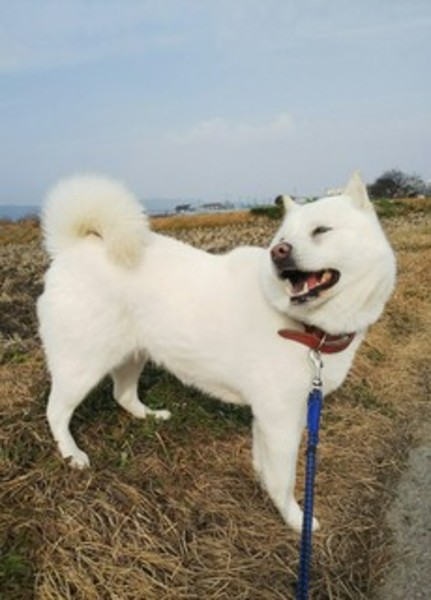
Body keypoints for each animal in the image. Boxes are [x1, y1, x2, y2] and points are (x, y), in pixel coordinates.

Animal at [37, 171, 396, 531]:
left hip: (132, 355)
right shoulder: (281, 417)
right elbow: (285, 479)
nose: (278, 252)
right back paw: (72, 454)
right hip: (82, 366)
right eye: (282, 238)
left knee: (122, 395)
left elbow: (265, 463)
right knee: (56, 412)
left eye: (321, 230)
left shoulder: (274, 415)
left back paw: (150, 415)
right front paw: (294, 518)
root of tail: (72, 248)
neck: (307, 329)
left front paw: (262, 482)